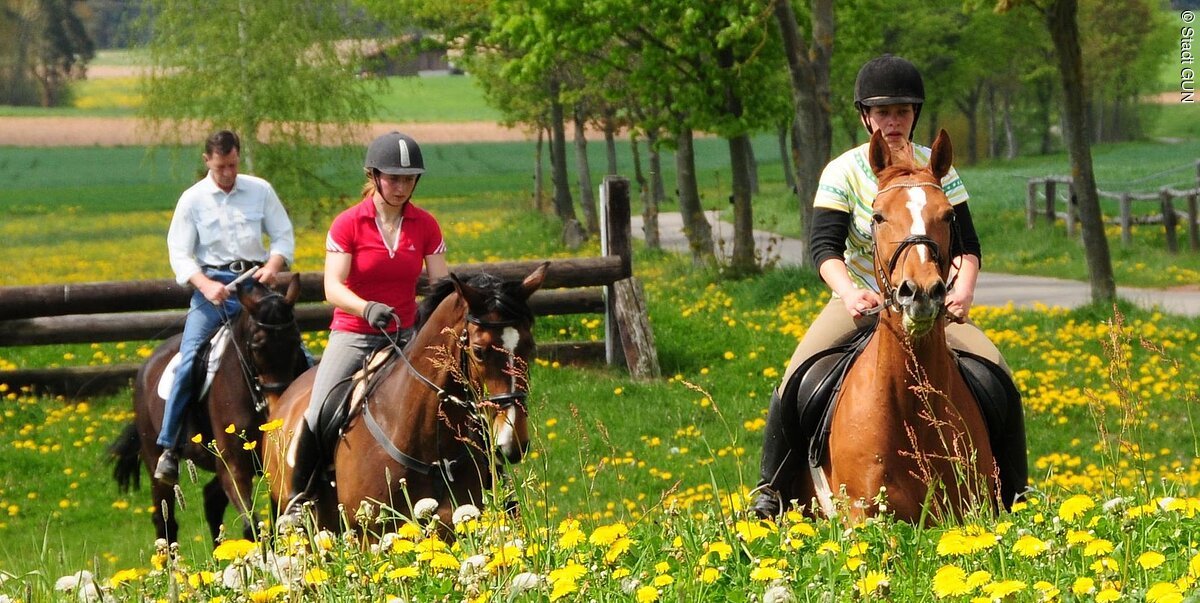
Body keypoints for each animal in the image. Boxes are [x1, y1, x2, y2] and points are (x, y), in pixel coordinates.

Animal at [109, 275, 309, 542]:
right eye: (257, 346)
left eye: (296, 342)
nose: (279, 406)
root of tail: (146, 366)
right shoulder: (234, 467)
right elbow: (252, 528)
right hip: (154, 460)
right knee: (165, 522)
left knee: (211, 500)